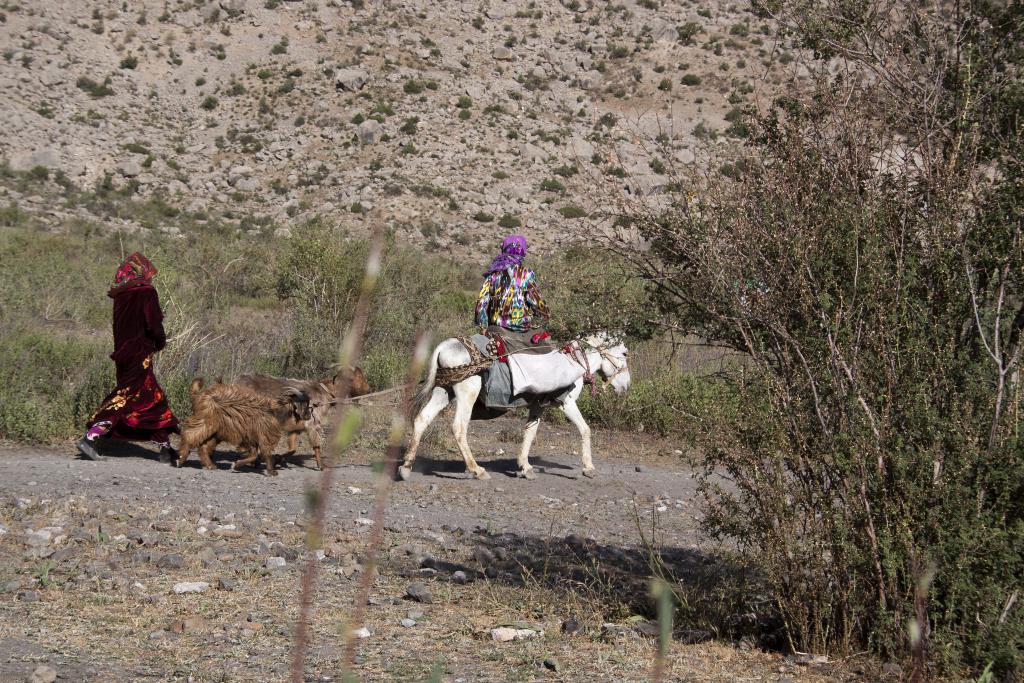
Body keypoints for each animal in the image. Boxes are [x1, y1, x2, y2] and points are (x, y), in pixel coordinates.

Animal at [178, 378, 311, 475]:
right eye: (305, 404)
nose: (309, 415)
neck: (274, 410)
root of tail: (199, 395)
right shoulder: (263, 434)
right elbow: (265, 452)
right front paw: (271, 471)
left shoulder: (250, 437)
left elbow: (254, 455)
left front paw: (236, 465)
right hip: (206, 421)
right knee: (189, 435)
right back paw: (181, 458)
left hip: (217, 431)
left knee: (204, 446)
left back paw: (210, 465)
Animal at [234, 368, 370, 471]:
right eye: (359, 377)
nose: (369, 389)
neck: (326, 393)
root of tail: (238, 381)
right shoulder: (313, 424)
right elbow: (316, 446)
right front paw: (321, 466)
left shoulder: (295, 428)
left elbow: (293, 449)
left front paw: (278, 460)